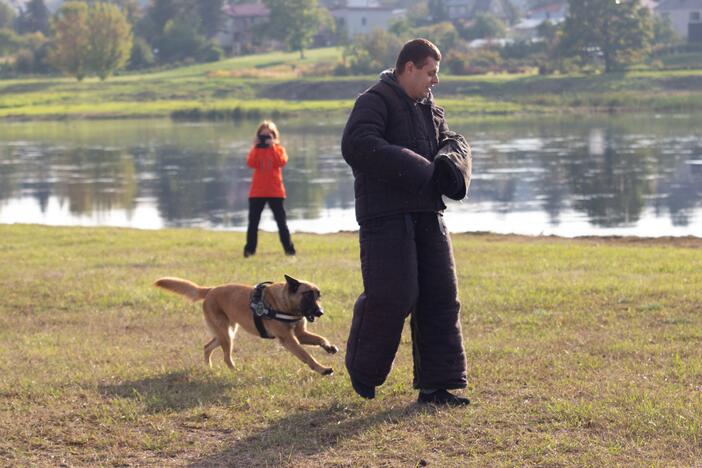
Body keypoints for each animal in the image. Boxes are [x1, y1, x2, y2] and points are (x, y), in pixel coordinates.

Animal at [155, 274, 340, 376]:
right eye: (308, 295)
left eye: (318, 296)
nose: (320, 312)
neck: (283, 303)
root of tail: (211, 290)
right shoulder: (289, 340)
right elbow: (307, 356)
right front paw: (322, 369)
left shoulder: (300, 335)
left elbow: (320, 338)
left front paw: (329, 347)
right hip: (226, 335)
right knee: (225, 357)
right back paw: (235, 372)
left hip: (225, 333)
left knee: (207, 347)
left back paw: (209, 368)